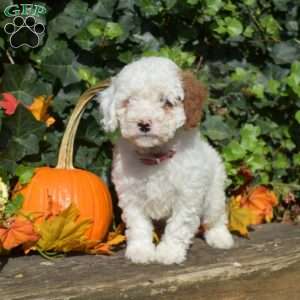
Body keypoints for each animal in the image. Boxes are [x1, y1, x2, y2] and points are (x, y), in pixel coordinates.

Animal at [97, 56, 233, 264]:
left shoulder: (187, 196)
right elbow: (139, 225)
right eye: (129, 102)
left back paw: (220, 237)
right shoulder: (131, 196)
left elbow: (178, 226)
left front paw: (169, 252)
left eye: (167, 102)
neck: (155, 156)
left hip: (214, 193)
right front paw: (141, 251)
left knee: (216, 217)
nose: (144, 123)